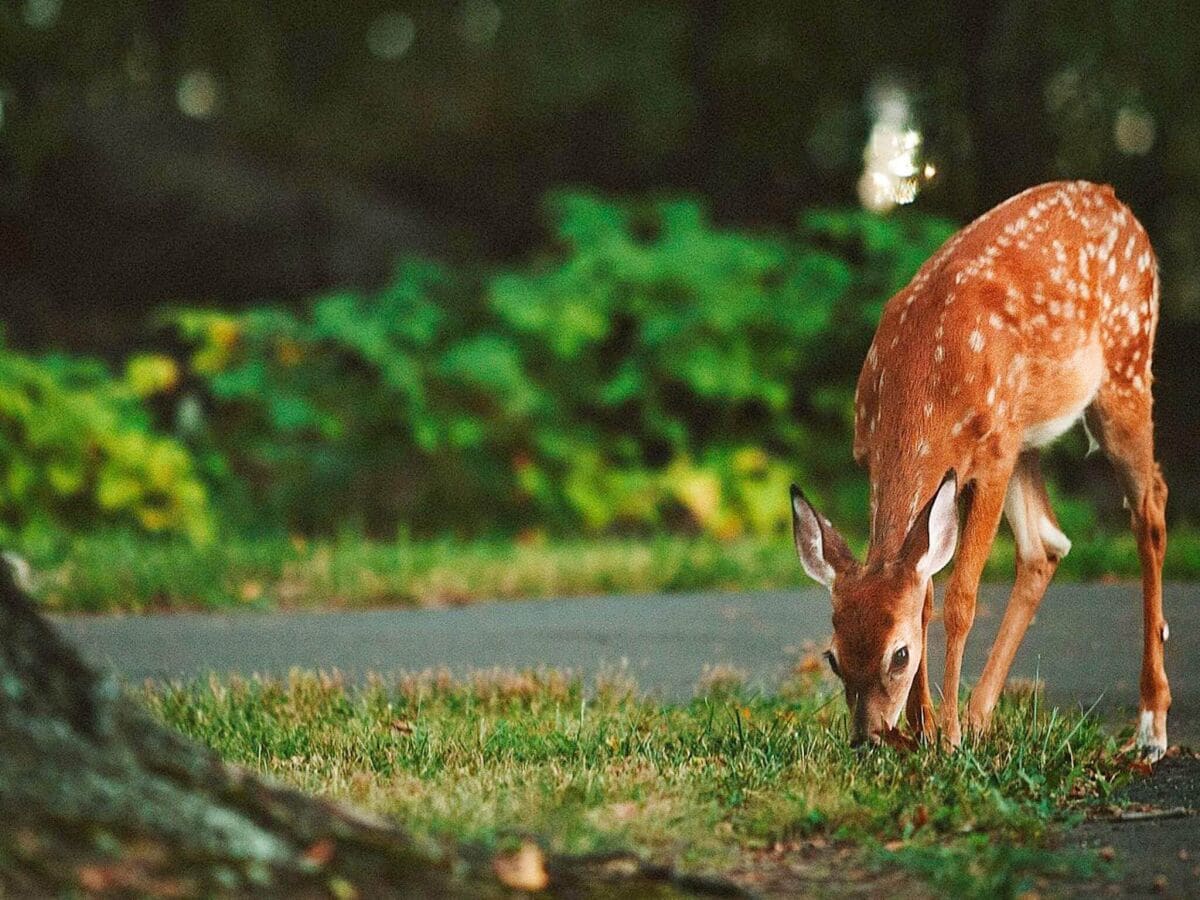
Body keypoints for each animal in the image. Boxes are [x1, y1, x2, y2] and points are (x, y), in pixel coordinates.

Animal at [792, 181, 1166, 763]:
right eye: (833, 657)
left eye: (899, 656)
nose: (867, 738)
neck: (924, 380)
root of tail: (1114, 200)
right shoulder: (879, 455)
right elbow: (923, 592)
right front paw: (924, 728)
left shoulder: (990, 458)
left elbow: (959, 598)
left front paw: (943, 737)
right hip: (1027, 435)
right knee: (1046, 545)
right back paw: (979, 716)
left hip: (1124, 372)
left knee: (1150, 509)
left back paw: (1151, 727)